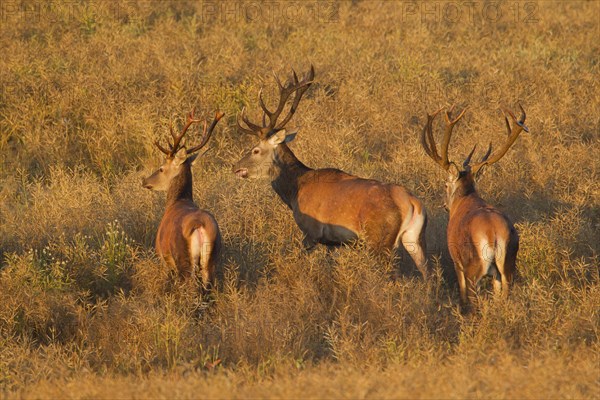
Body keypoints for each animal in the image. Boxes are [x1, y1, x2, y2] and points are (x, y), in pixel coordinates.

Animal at [143, 108, 225, 290]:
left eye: (161, 168)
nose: (145, 181)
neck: (177, 201)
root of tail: (200, 225)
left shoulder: (164, 258)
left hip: (183, 260)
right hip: (212, 260)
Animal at [232, 66, 428, 278]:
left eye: (255, 150)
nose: (236, 167)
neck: (295, 190)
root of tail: (411, 202)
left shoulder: (311, 231)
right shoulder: (332, 242)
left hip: (380, 240)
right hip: (414, 239)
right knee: (429, 274)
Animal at [420, 104, 528, 308]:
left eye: (445, 184)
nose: (444, 205)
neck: (466, 199)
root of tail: (495, 233)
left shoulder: (456, 260)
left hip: (474, 266)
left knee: (472, 298)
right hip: (507, 267)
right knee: (504, 294)